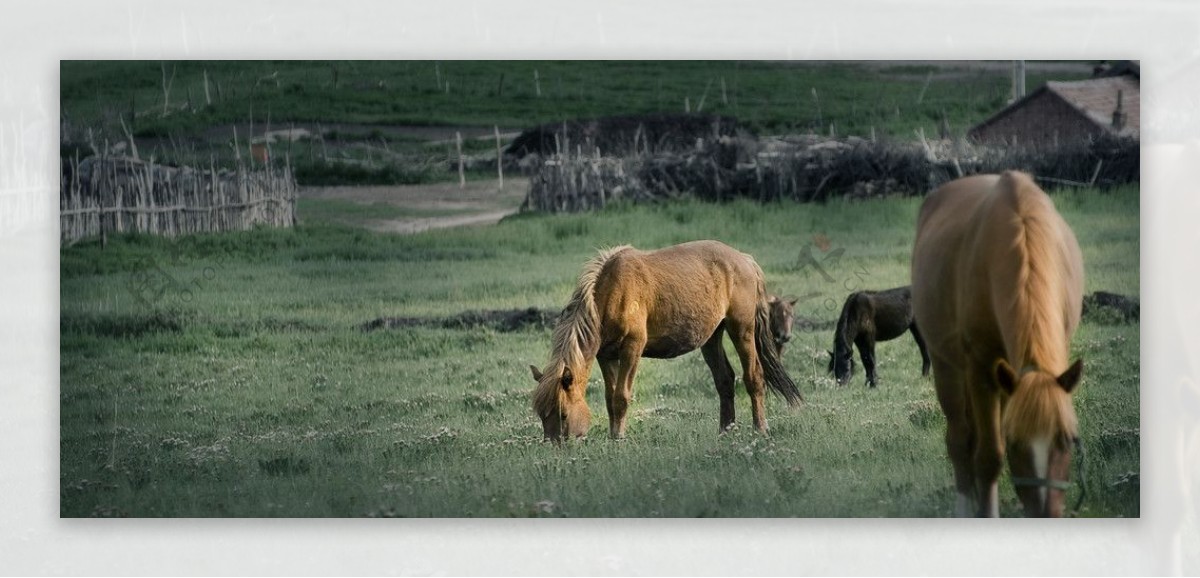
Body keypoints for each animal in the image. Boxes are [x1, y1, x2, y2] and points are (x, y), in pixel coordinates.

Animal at [530, 241, 801, 441]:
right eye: (542, 416)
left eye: (563, 415)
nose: (556, 447)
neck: (613, 292)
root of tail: (745, 260)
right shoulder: (606, 355)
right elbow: (609, 398)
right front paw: (612, 435)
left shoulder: (632, 348)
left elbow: (621, 396)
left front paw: (618, 438)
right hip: (712, 337)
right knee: (724, 380)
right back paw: (725, 432)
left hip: (741, 329)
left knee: (754, 377)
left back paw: (760, 429)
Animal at [907, 171, 1089, 520]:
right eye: (1016, 441)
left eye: (1068, 439)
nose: (1045, 513)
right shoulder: (981, 366)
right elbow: (989, 455)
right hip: (948, 366)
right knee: (961, 440)